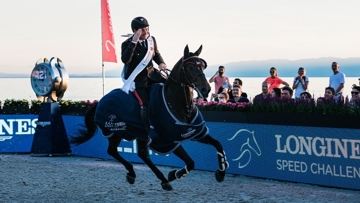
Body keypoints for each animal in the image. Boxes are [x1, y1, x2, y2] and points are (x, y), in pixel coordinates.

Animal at [70, 45, 228, 191]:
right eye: (189, 67)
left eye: (202, 66)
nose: (206, 90)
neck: (179, 105)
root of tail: (100, 101)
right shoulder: (166, 140)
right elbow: (190, 162)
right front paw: (174, 174)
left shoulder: (196, 132)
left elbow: (218, 144)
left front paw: (221, 172)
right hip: (115, 132)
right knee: (113, 151)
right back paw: (143, 175)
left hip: (139, 134)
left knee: (142, 154)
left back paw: (153, 177)